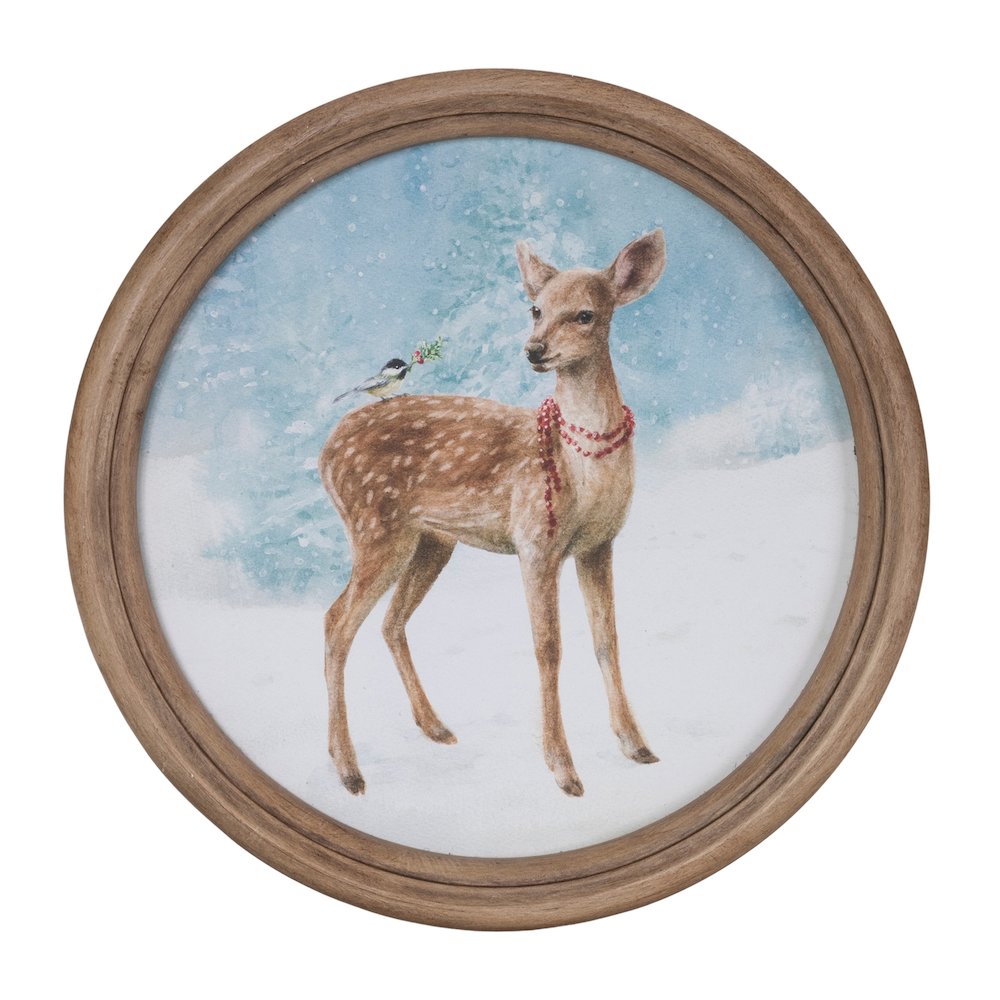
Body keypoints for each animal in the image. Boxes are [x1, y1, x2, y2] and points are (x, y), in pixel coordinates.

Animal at [319, 229, 667, 797]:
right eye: (535, 308)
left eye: (586, 314)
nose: (534, 349)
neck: (584, 468)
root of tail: (326, 451)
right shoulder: (535, 541)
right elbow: (549, 647)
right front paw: (563, 769)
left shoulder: (599, 544)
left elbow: (607, 641)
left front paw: (637, 746)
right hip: (375, 528)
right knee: (335, 622)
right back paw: (349, 770)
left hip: (431, 541)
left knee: (390, 622)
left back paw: (435, 728)